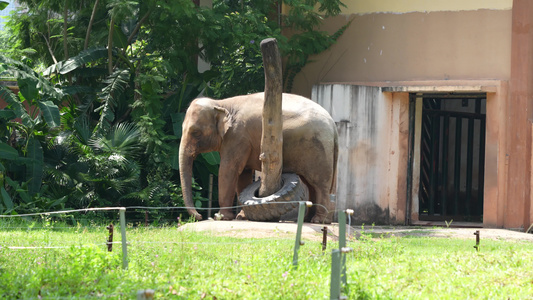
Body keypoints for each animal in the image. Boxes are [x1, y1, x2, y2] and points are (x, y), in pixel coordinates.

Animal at [179, 92, 336, 224]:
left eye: (196, 132)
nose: (199, 216)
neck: (221, 103)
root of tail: (333, 124)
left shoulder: (237, 137)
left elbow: (228, 170)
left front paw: (222, 218)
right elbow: (243, 176)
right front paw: (241, 217)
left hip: (319, 151)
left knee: (320, 185)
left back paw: (319, 221)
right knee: (311, 185)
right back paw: (310, 220)